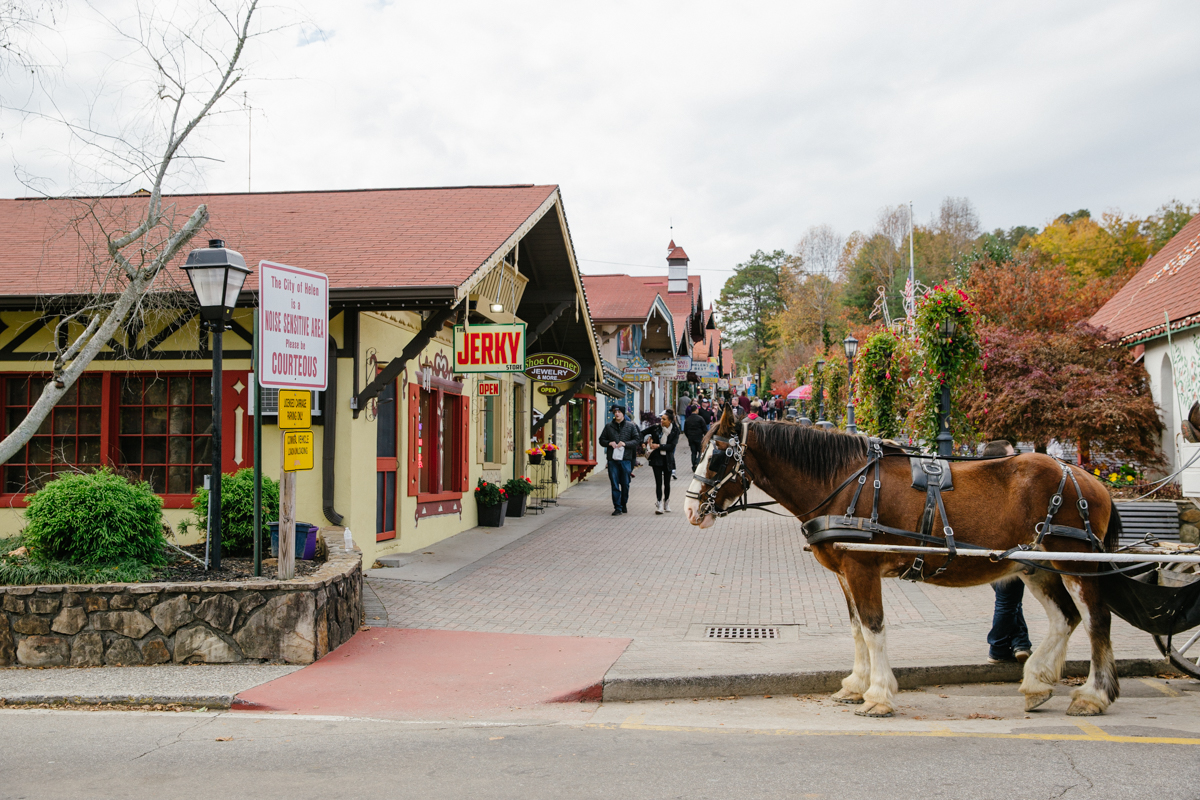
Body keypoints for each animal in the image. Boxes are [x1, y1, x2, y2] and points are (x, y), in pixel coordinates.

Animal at [691, 407, 1118, 719]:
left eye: (717, 459)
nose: (690, 509)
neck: (845, 483)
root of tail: (1086, 477)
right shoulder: (845, 573)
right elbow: (857, 629)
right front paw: (855, 685)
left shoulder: (862, 569)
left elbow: (873, 627)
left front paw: (878, 695)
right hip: (1037, 567)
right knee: (1065, 618)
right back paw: (1037, 684)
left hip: (1075, 564)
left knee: (1096, 620)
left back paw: (1093, 695)